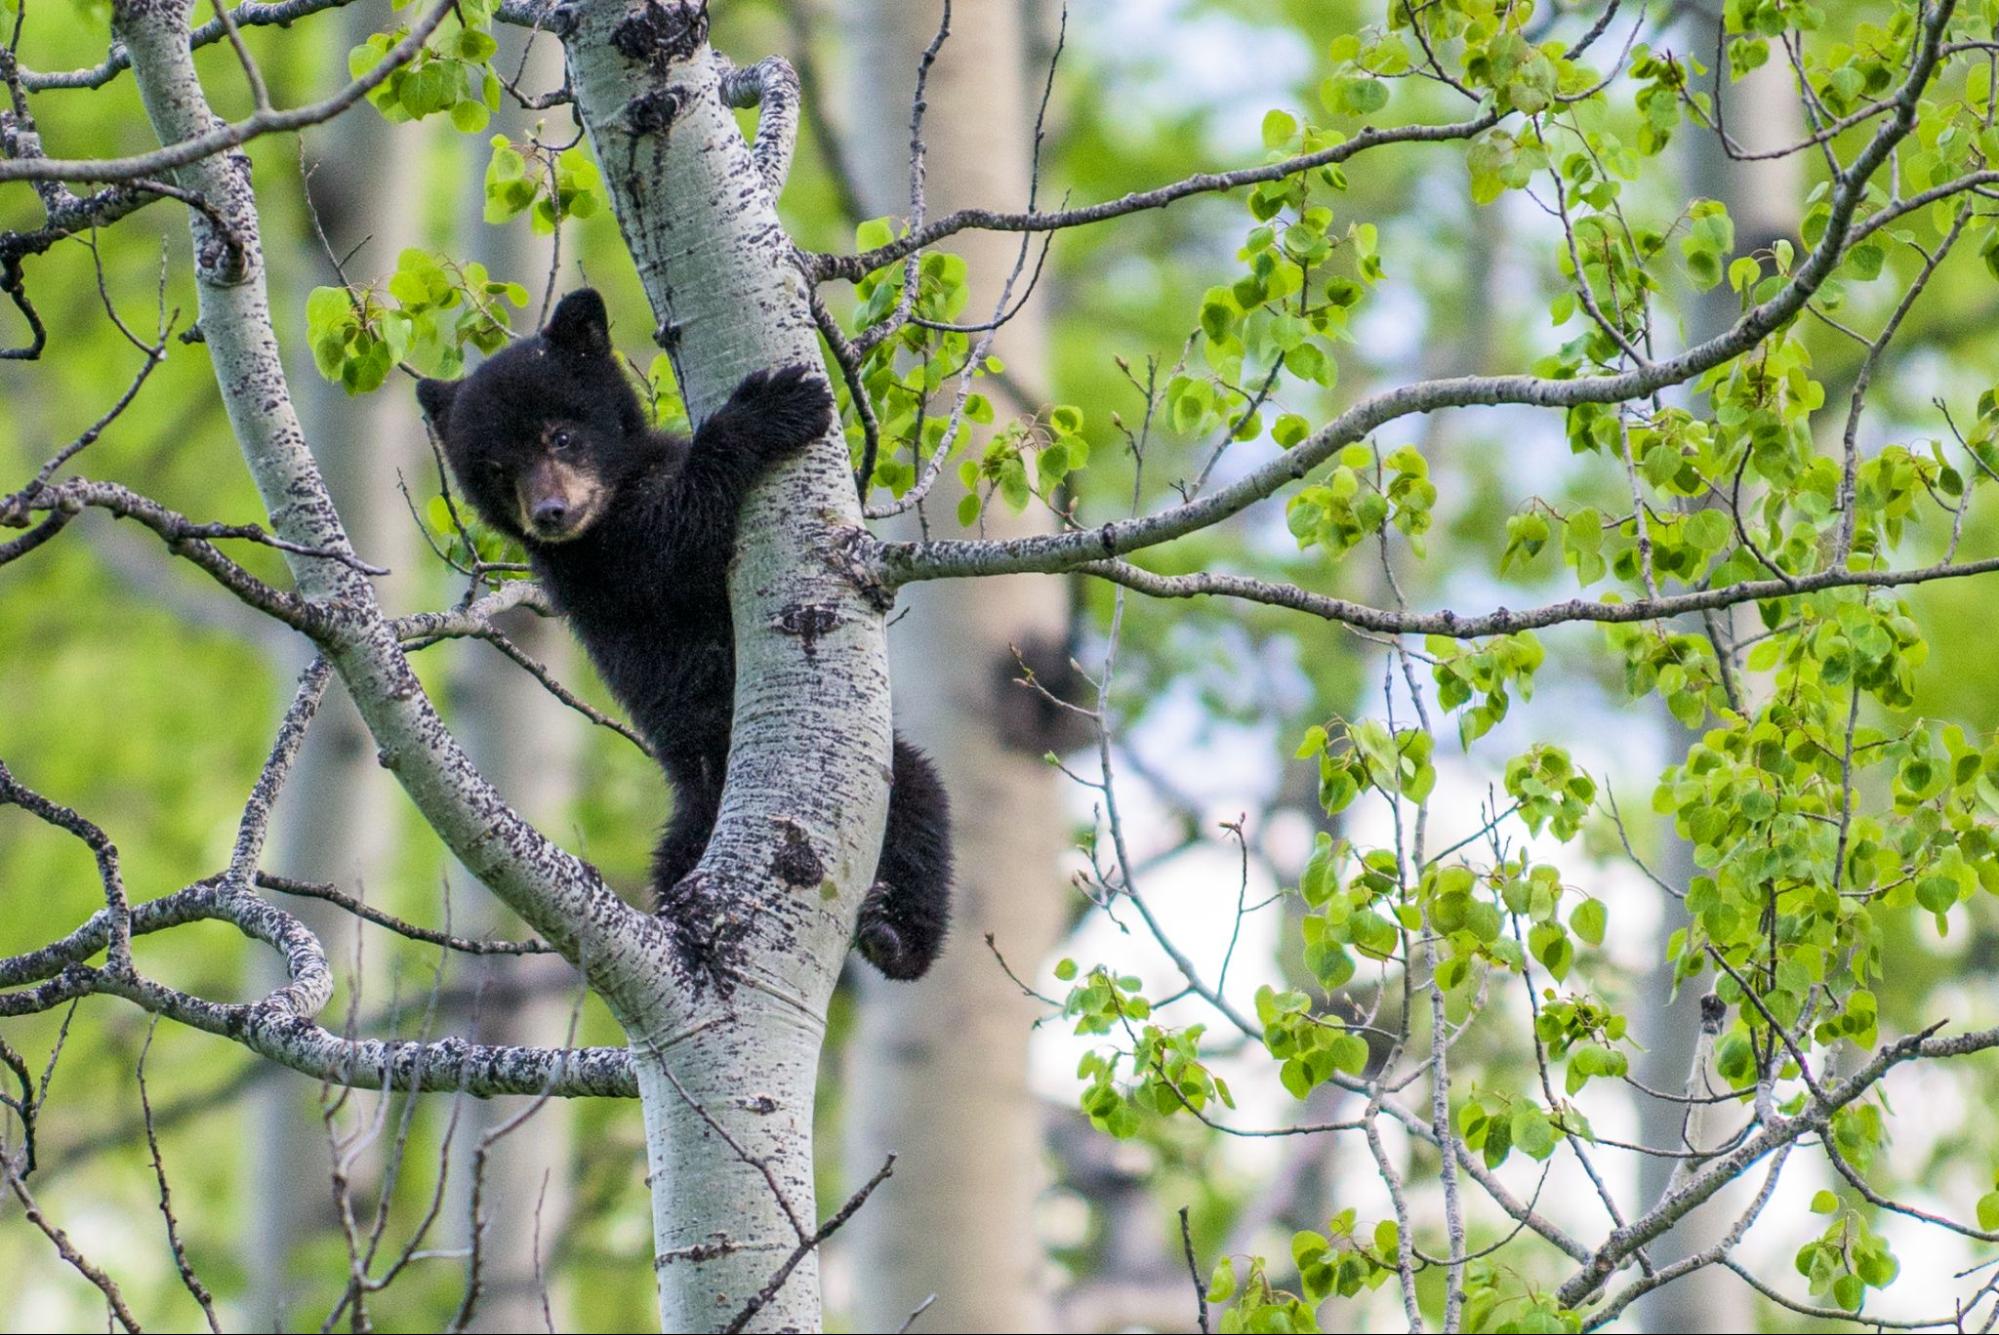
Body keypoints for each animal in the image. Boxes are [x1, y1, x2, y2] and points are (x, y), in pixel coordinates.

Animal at [415, 288, 951, 982]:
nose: (551, 514)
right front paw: (768, 406)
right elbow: (675, 543)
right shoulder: (600, 566)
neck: (616, 495)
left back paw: (895, 934)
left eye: (561, 435)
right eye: (498, 469)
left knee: (923, 821)